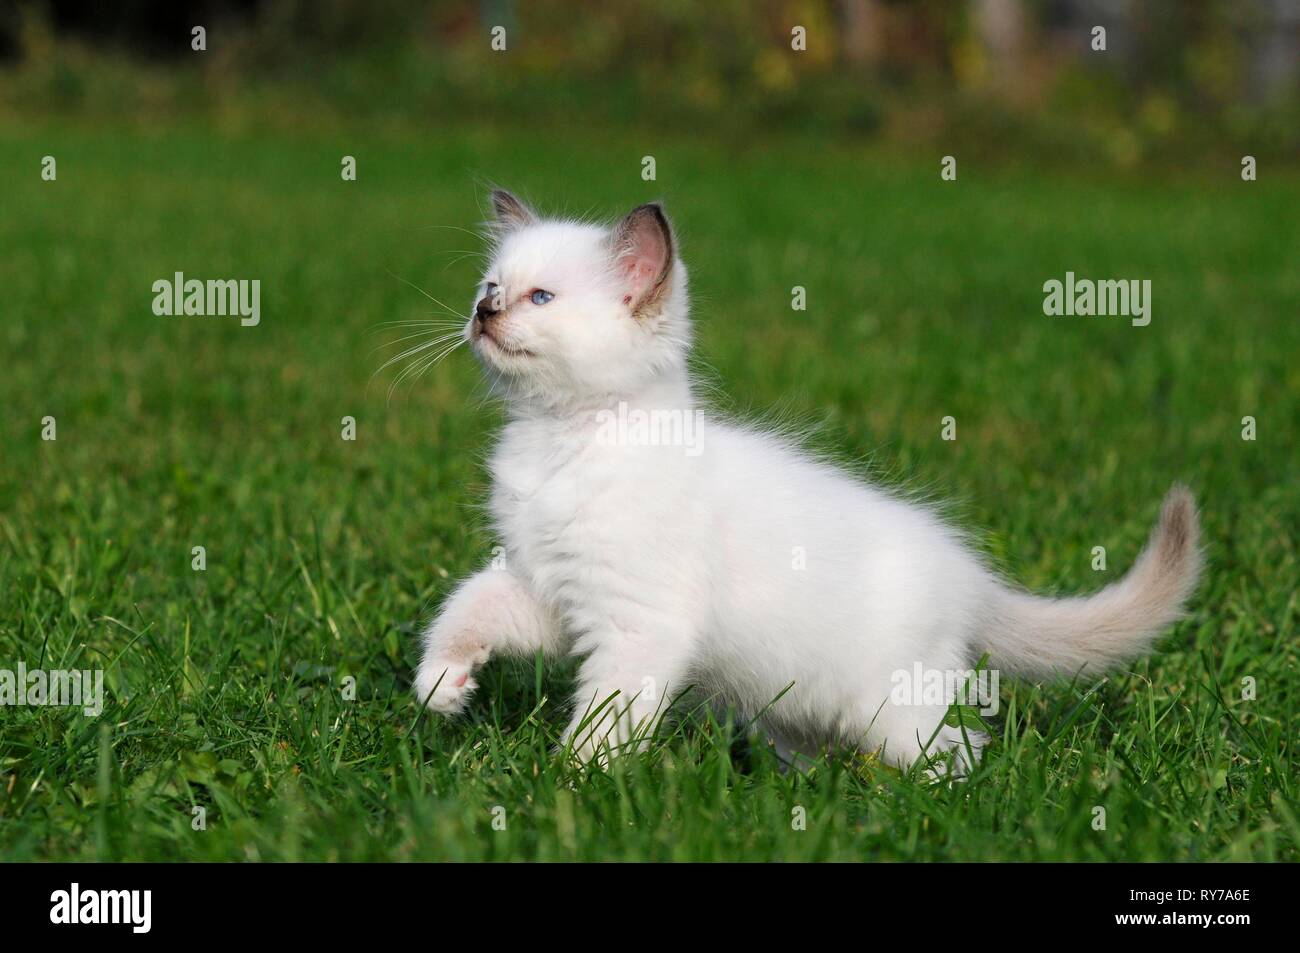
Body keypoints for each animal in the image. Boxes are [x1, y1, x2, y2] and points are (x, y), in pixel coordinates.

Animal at [413, 193, 1196, 774]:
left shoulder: (638, 622)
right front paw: (441, 686)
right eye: (491, 286)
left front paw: (567, 786)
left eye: (540, 298)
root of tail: (973, 579)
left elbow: (607, 721)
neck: (559, 440)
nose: (483, 312)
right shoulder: (547, 589)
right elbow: (468, 606)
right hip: (793, 704)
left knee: (959, 755)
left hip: (891, 709)